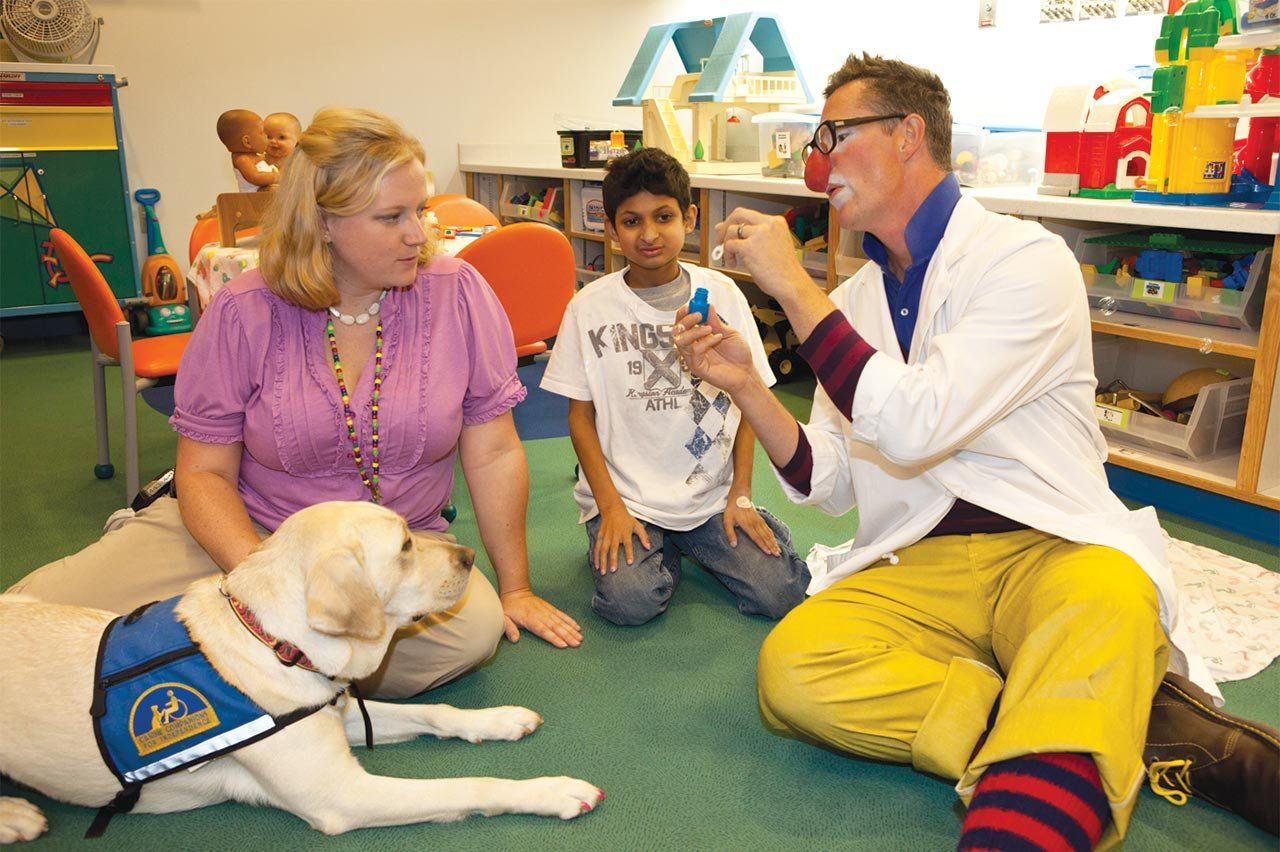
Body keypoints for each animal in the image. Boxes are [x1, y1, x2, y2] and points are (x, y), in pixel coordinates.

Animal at [0, 498, 599, 834]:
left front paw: (497, 720)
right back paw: (17, 817)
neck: (271, 641)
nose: (470, 557)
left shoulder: (336, 711)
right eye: (406, 545)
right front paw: (552, 792)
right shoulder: (341, 795)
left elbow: (439, 712)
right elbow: (468, 786)